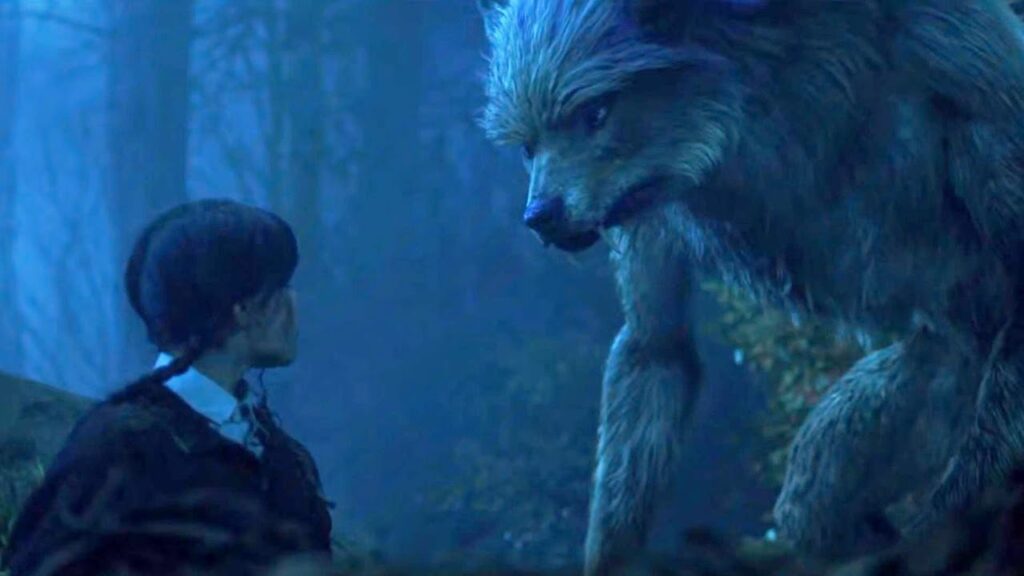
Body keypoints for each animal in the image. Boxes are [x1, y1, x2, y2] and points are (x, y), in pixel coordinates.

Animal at [479, 0, 1024, 574]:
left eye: (596, 113)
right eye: (528, 146)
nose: (539, 217)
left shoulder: (952, 57)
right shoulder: (643, 216)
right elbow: (658, 347)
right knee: (811, 506)